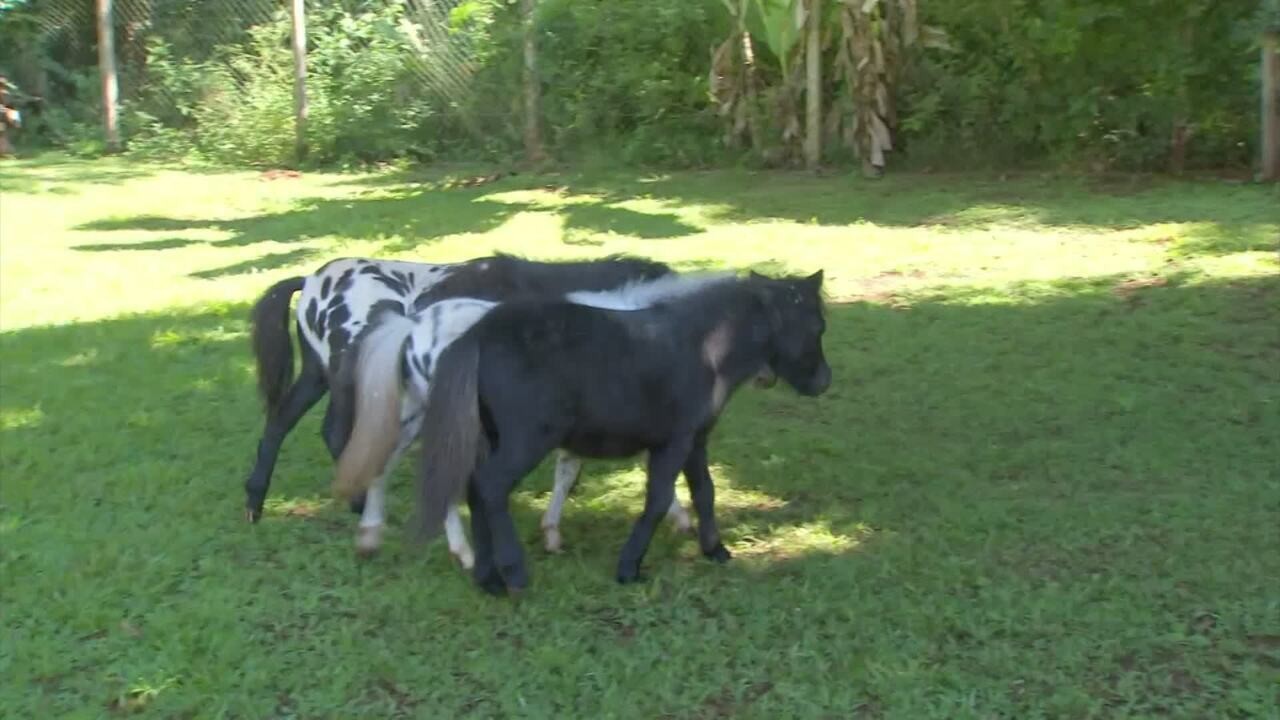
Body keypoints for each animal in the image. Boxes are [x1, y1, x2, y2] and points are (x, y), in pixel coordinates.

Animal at [244, 253, 699, 560]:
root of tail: (310, 279)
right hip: (351, 379)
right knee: (339, 432)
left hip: (318, 374)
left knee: (281, 421)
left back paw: (257, 503)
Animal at [334, 269, 830, 595]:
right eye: (815, 325)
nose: (824, 383)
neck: (703, 344)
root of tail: (468, 336)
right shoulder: (672, 444)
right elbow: (656, 500)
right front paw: (629, 567)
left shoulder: (695, 441)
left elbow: (704, 492)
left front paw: (716, 550)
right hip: (520, 440)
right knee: (486, 487)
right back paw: (510, 573)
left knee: (464, 486)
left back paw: (484, 575)